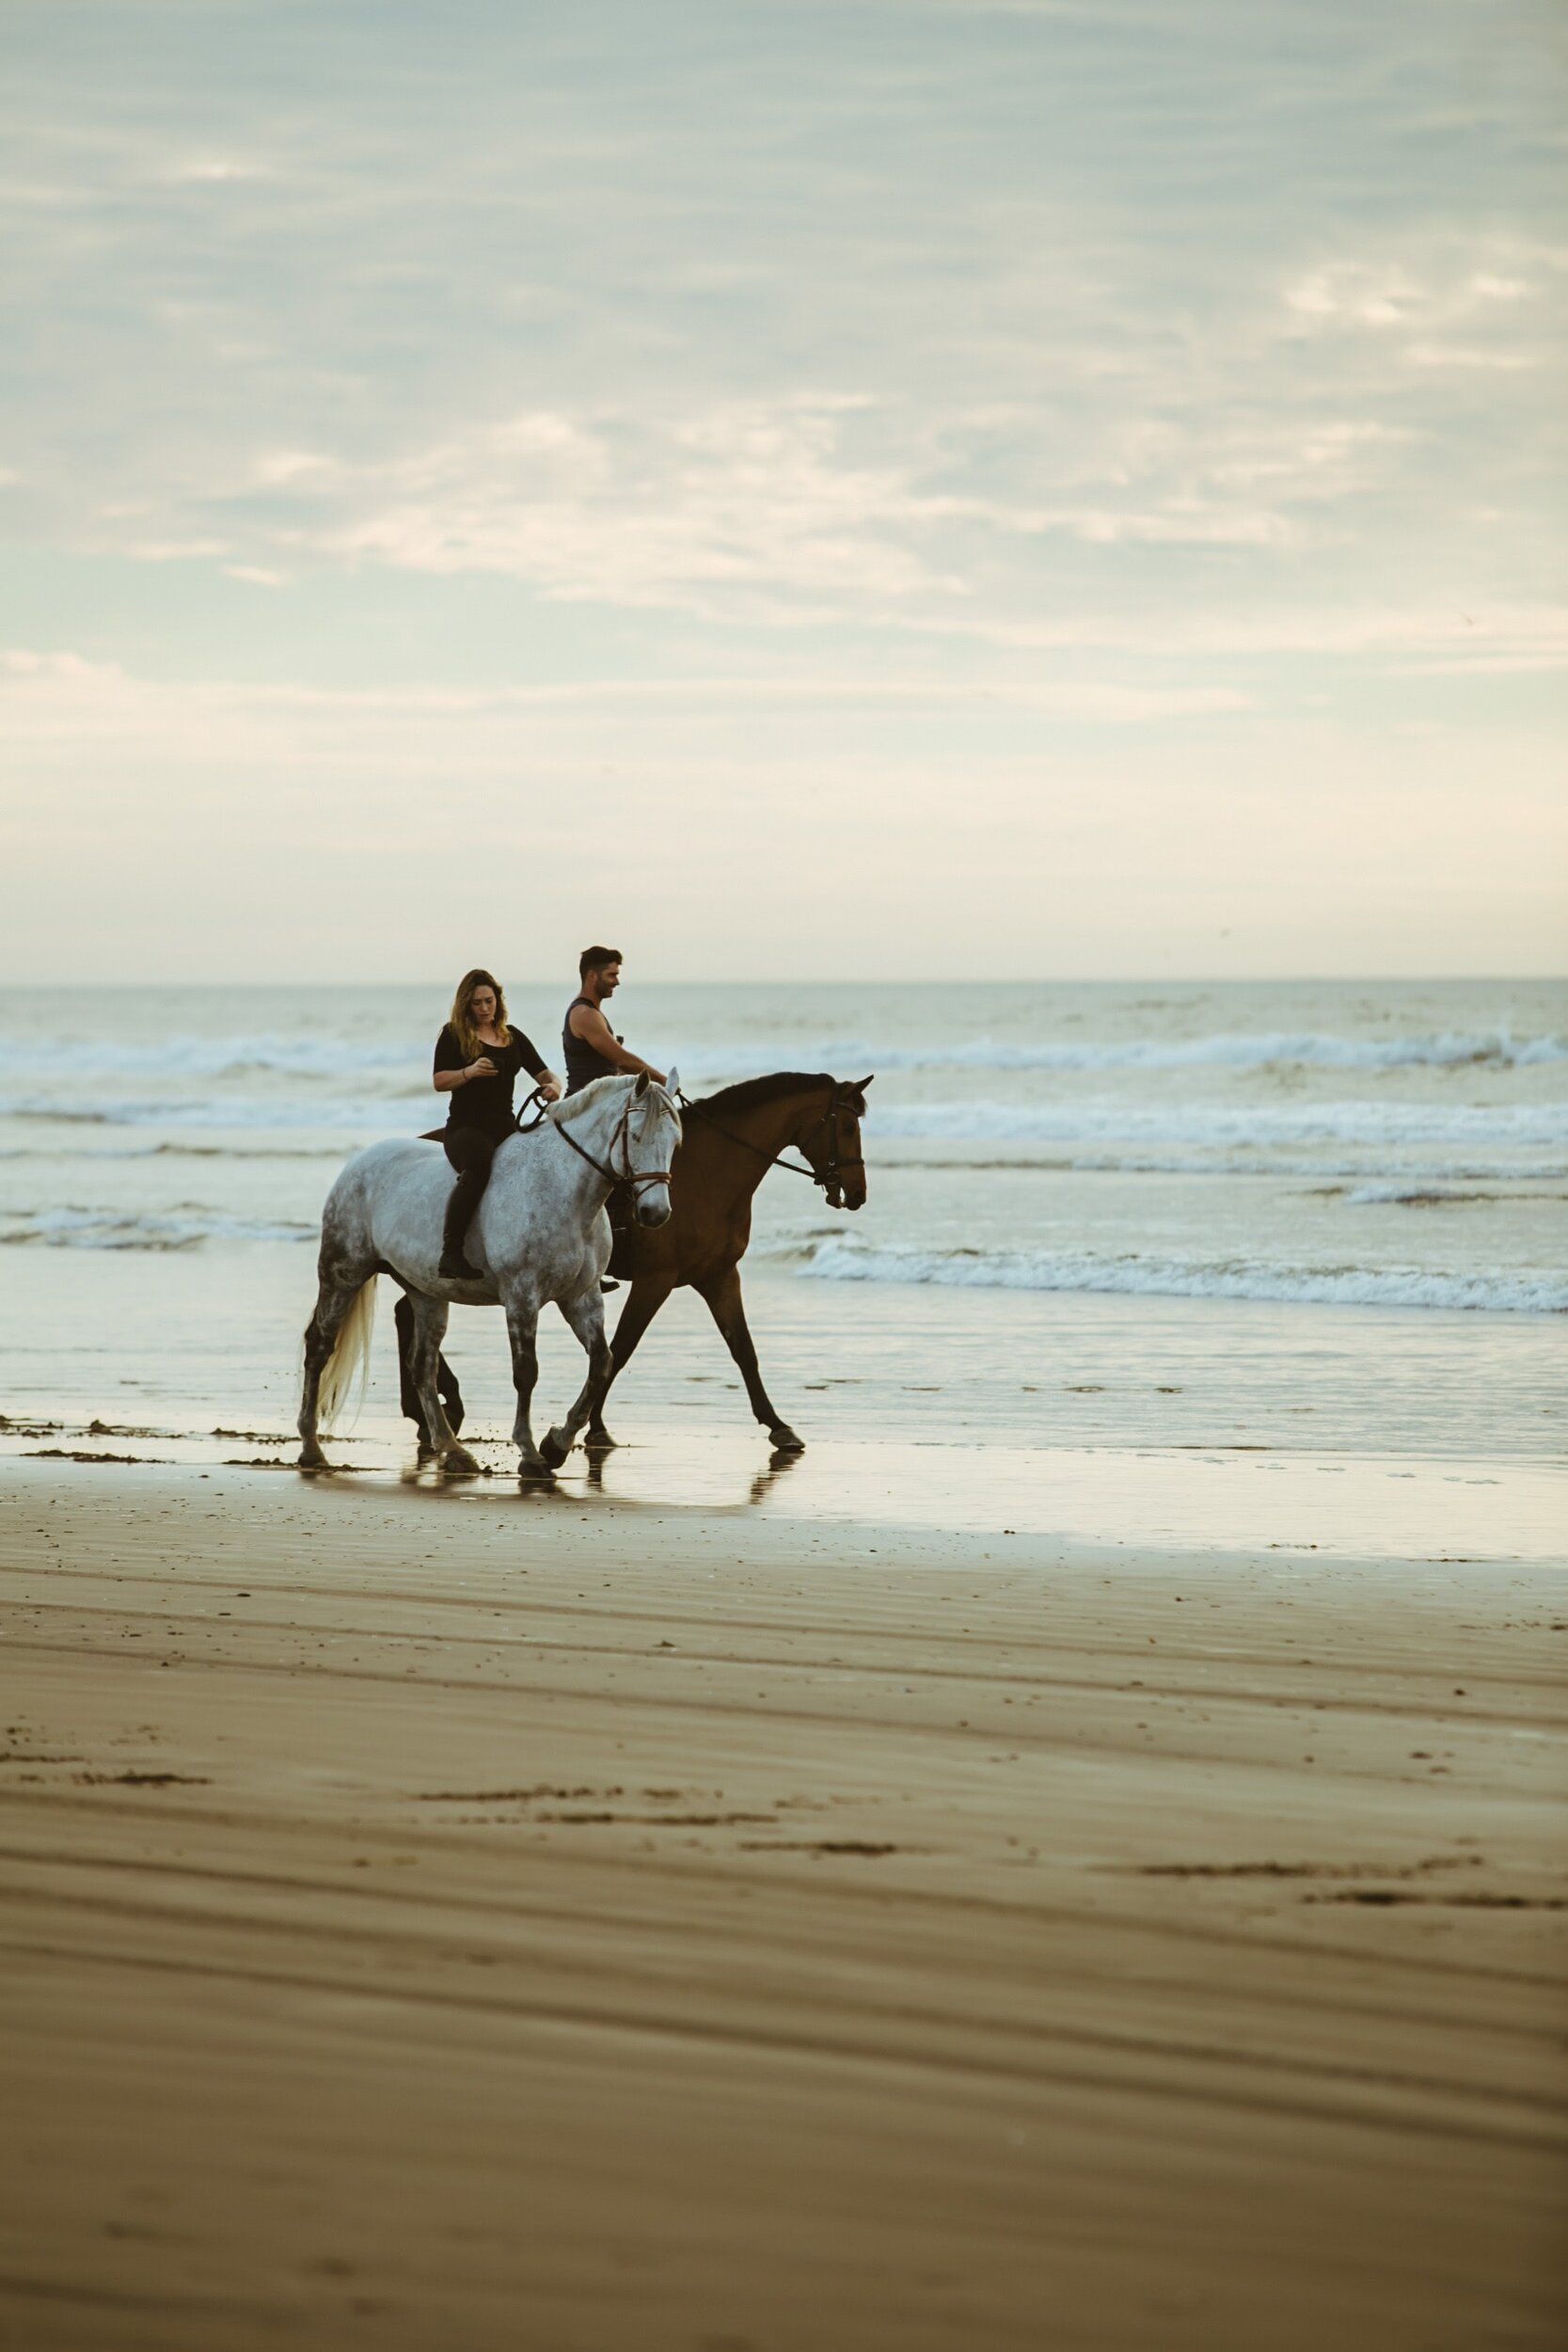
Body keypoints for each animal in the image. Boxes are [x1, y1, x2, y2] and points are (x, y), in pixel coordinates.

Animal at [300, 1077, 681, 1477]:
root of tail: (358, 1163)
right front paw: (530, 1453)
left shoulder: (582, 1297)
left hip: (426, 1292)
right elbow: (526, 1372)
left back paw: (452, 1449)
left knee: (422, 1365)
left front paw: (557, 1444)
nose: (655, 1213)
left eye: (675, 1141)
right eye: (636, 1136)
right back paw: (311, 1448)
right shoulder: (522, 1296)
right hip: (343, 1272)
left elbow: (601, 1363)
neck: (562, 1190)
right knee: (319, 1346)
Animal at [394, 1077, 869, 1458]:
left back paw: (429, 1411)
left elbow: (743, 1351)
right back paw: (436, 1410)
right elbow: (621, 1350)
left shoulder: (718, 1276)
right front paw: (589, 1429)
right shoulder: (656, 1280)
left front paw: (779, 1427)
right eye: (847, 1127)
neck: (710, 1173)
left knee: (405, 1314)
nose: (858, 1192)